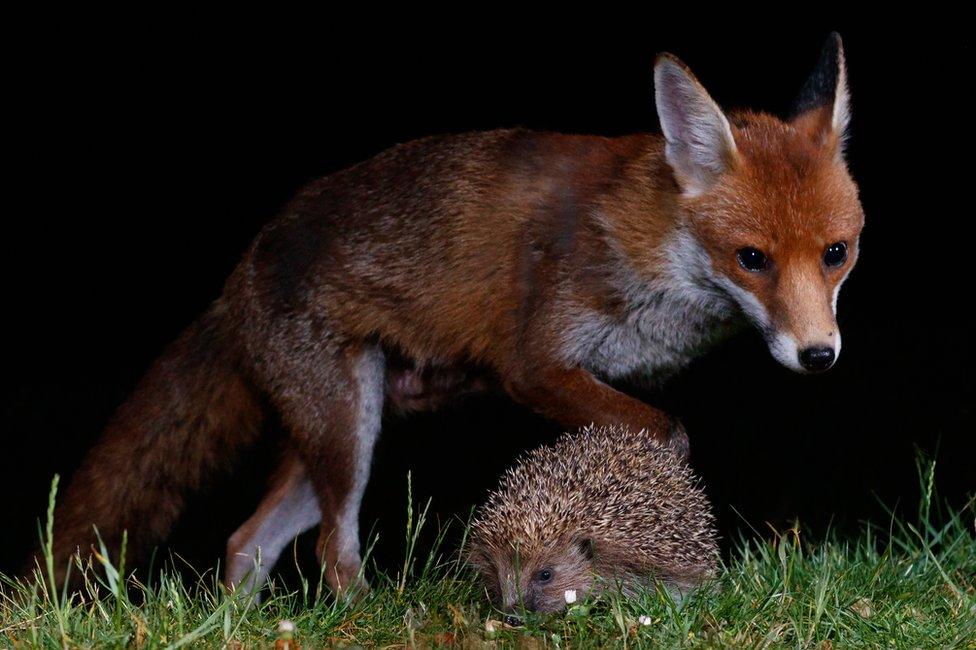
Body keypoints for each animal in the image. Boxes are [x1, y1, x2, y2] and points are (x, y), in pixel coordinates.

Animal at [40, 33, 860, 596]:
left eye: (837, 253)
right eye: (751, 258)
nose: (819, 355)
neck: (654, 253)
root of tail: (241, 271)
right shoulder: (535, 365)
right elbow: (669, 434)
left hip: (349, 433)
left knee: (248, 541)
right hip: (346, 436)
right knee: (329, 553)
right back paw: (369, 613)